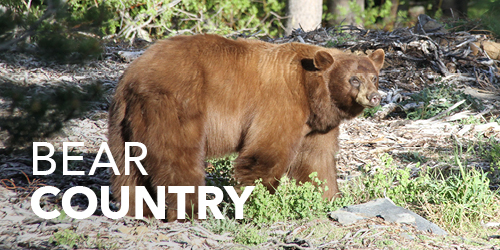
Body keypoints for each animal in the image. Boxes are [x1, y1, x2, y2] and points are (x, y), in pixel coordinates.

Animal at [107, 33, 384, 221]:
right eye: (354, 79)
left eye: (374, 77)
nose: (375, 97)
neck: (311, 90)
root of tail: (132, 76)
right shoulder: (281, 103)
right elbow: (265, 154)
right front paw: (256, 204)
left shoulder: (317, 125)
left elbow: (316, 159)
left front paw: (329, 198)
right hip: (174, 105)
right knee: (177, 158)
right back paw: (192, 210)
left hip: (123, 121)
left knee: (127, 168)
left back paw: (137, 210)